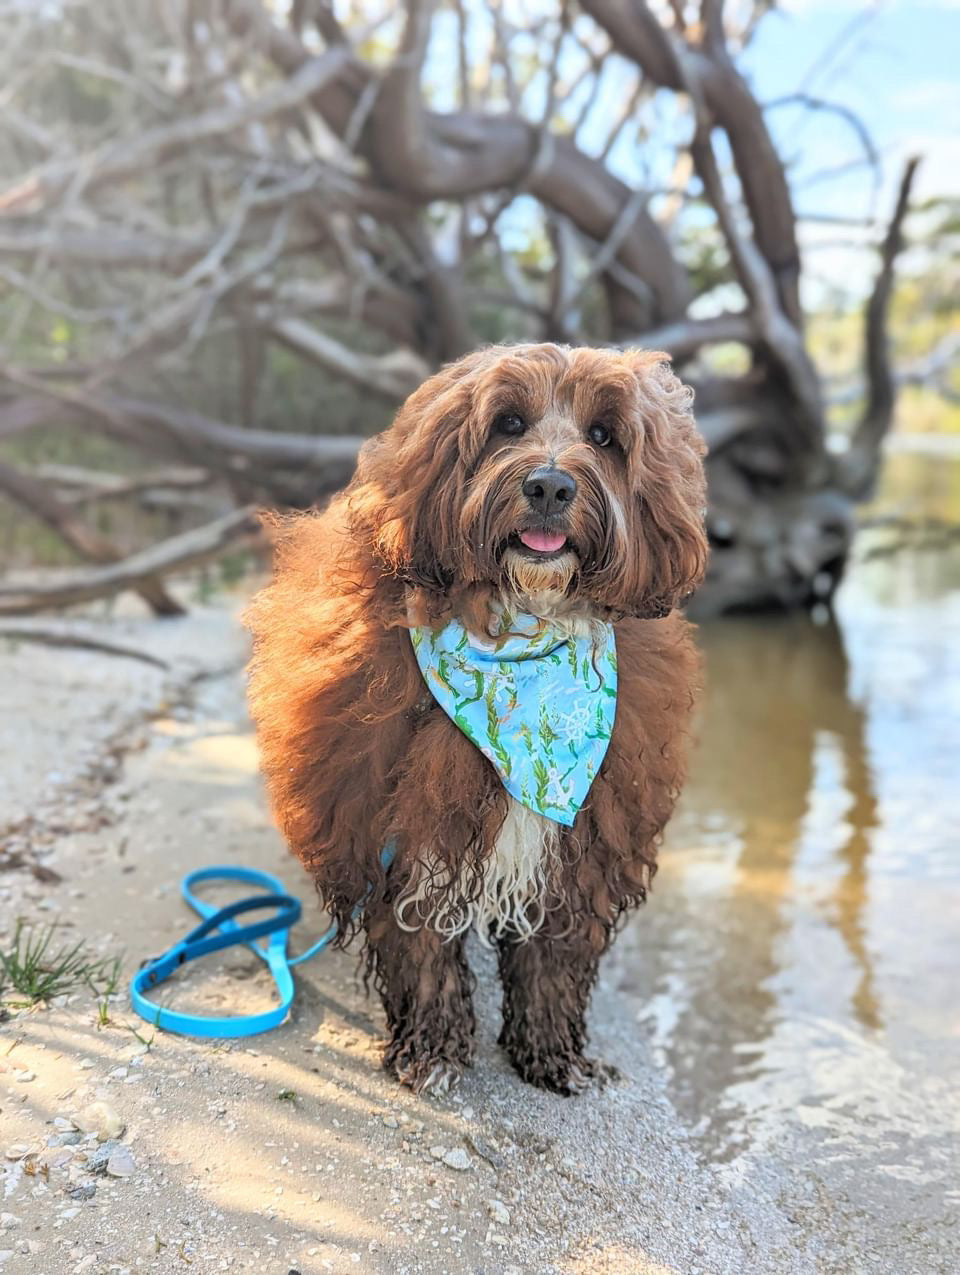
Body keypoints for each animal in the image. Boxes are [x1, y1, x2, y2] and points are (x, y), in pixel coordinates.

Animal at [243, 346, 708, 1096]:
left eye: (604, 435)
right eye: (508, 423)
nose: (549, 486)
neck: (520, 636)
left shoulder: (583, 838)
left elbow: (553, 954)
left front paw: (550, 1051)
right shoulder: (408, 822)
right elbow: (421, 939)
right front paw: (432, 1047)